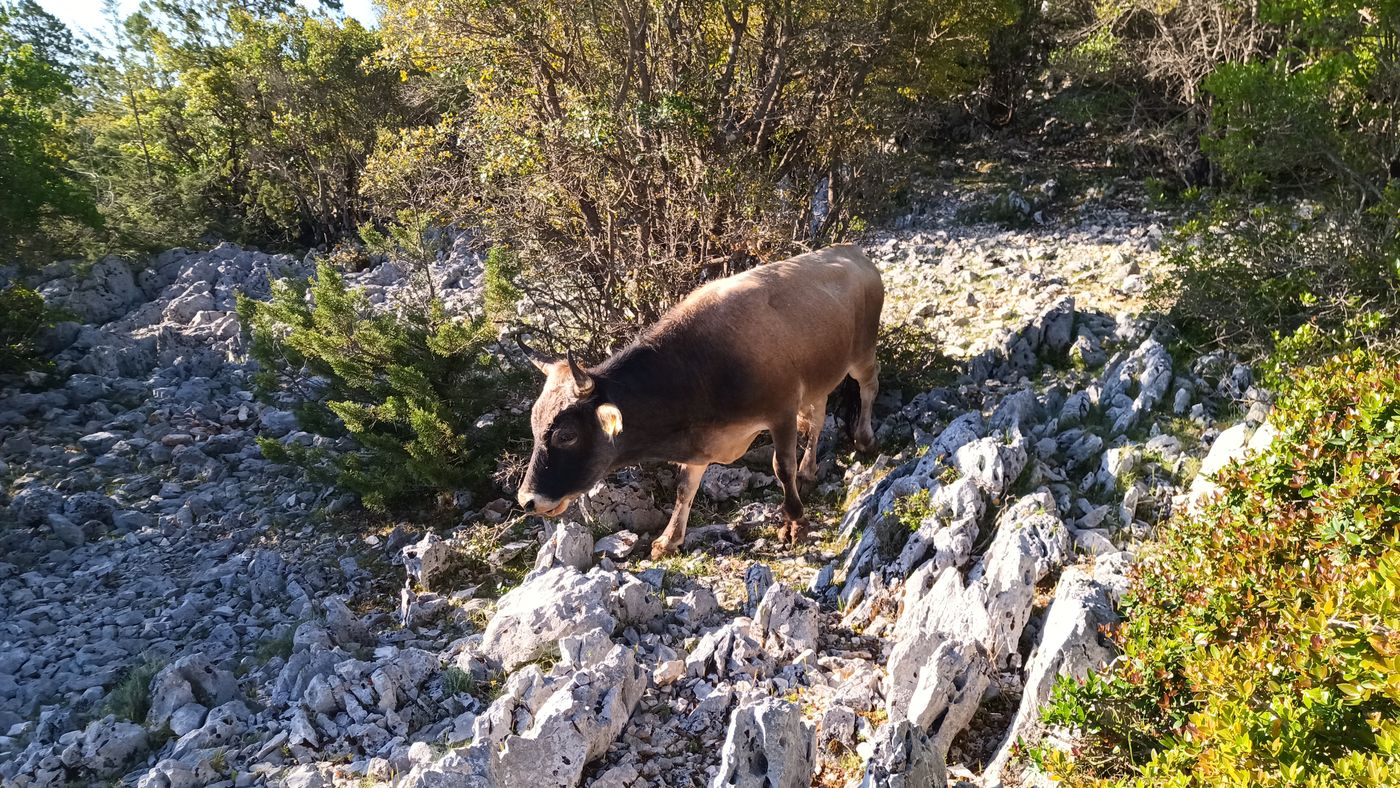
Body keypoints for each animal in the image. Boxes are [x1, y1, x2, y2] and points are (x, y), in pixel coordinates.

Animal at [515, 243, 883, 558]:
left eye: (566, 435)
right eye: (533, 425)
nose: (526, 500)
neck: (701, 366)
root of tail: (851, 250)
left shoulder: (781, 411)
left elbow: (782, 467)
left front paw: (794, 522)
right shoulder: (701, 441)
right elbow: (684, 487)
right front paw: (669, 539)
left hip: (862, 352)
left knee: (869, 386)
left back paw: (864, 439)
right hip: (819, 377)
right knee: (818, 416)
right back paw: (809, 470)